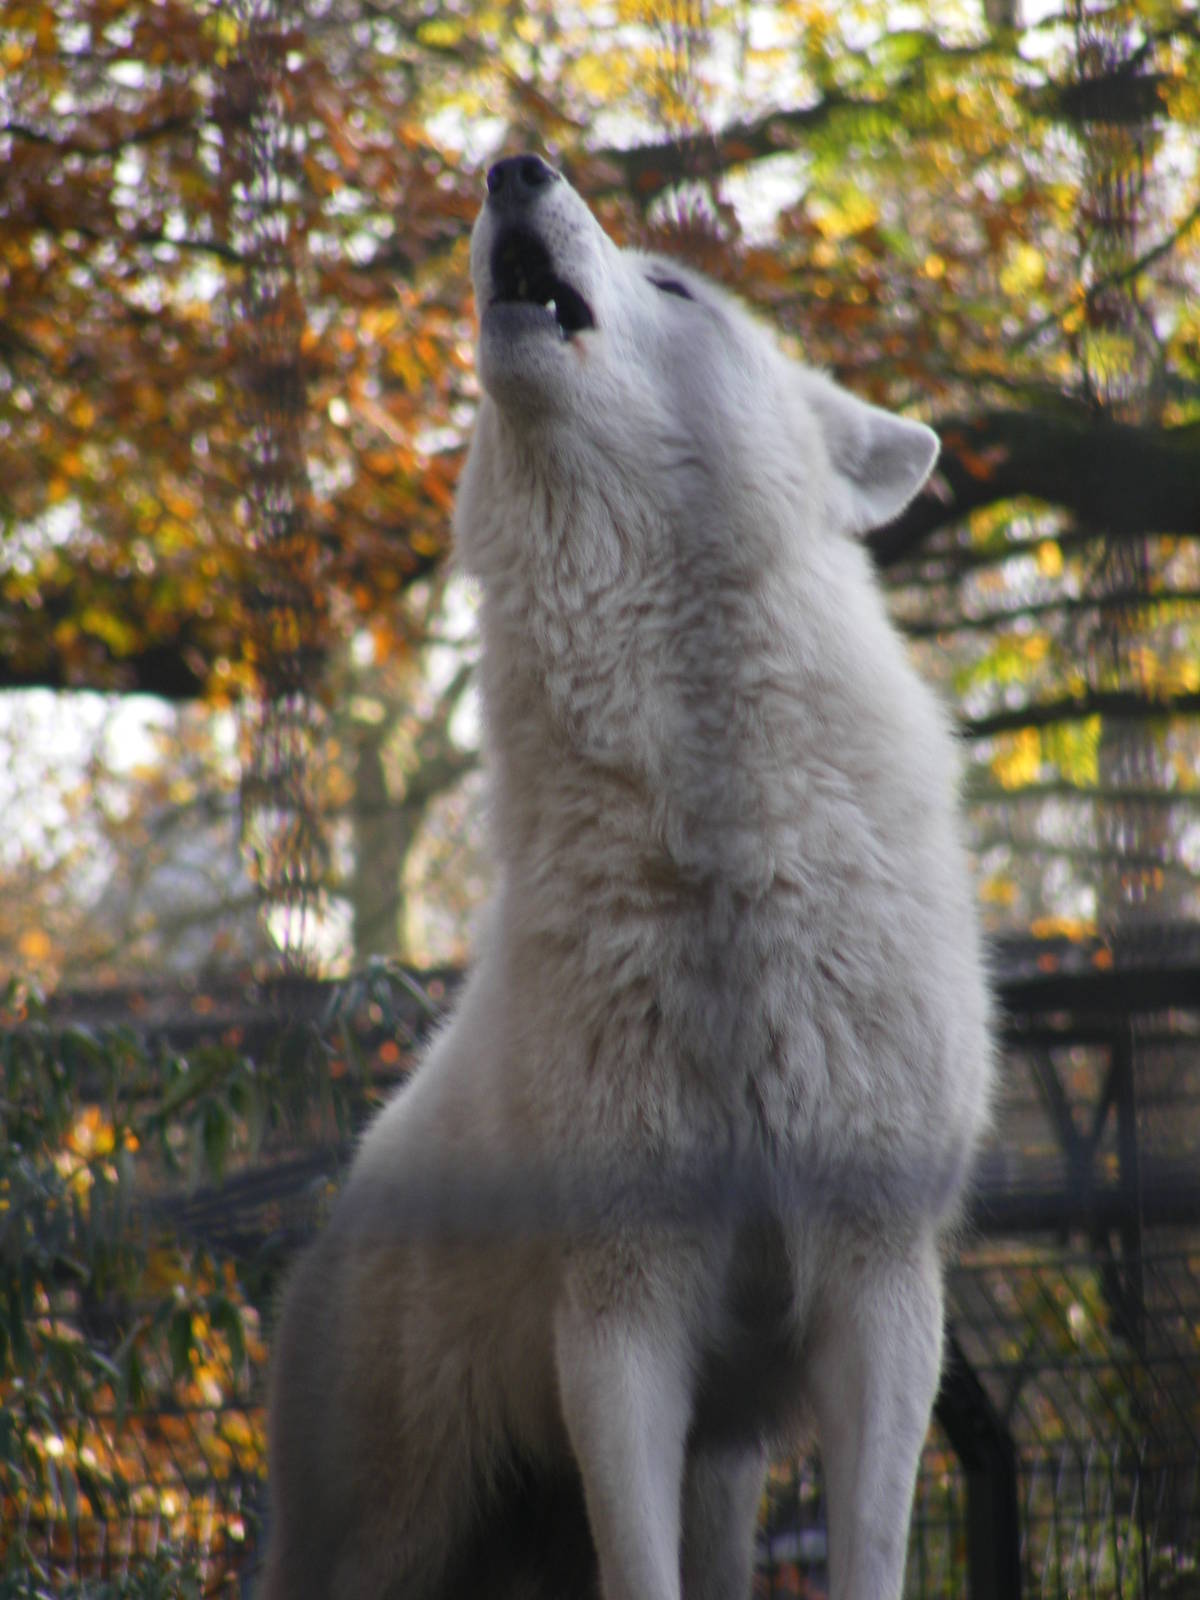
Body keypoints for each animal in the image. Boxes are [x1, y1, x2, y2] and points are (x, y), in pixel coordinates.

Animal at [261, 154, 994, 1600]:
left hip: (717, 1479)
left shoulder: (881, 1281)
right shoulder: (619, 1301)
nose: (513, 165)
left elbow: (872, 1554)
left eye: (677, 288)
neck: (718, 856)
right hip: (387, 1539)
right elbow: (636, 1566)